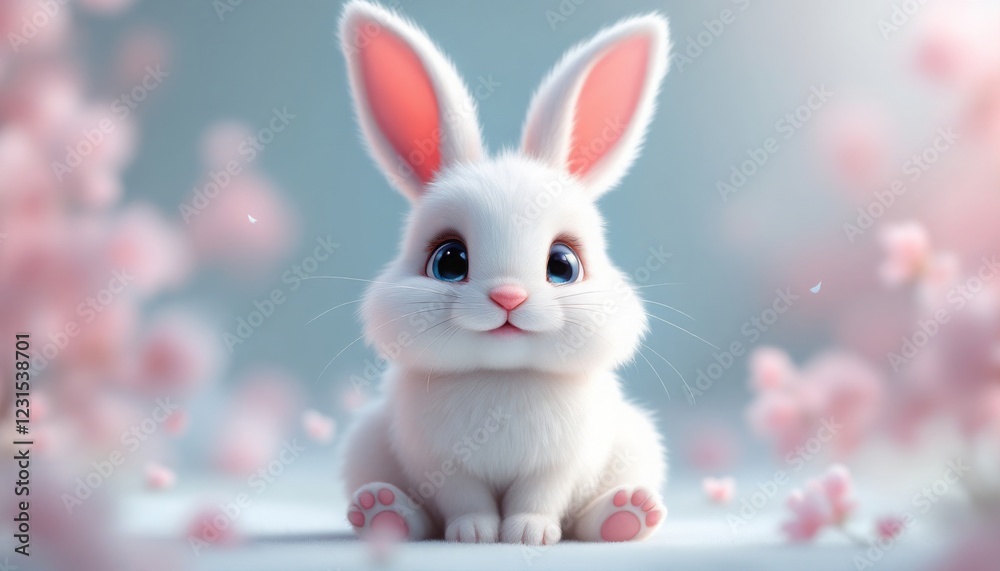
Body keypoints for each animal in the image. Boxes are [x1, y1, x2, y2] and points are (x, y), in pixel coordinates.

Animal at [337, 0, 671, 545]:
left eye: (563, 265)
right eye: (449, 261)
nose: (509, 298)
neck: (503, 375)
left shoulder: (558, 467)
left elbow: (540, 499)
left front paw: (527, 535)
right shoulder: (444, 466)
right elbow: (464, 501)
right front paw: (473, 534)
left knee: (589, 517)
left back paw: (628, 513)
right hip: (365, 443)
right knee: (414, 513)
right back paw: (382, 512)